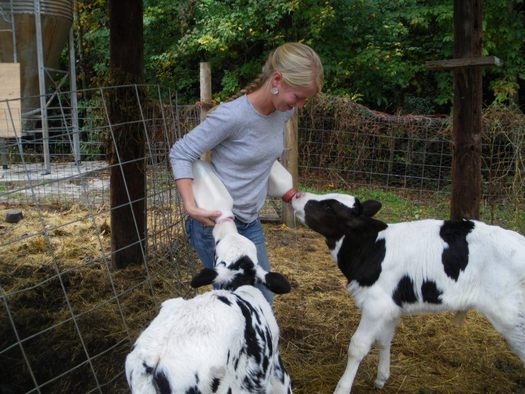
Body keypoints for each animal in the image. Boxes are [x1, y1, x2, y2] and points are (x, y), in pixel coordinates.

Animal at [290, 192, 524, 394]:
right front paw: (382, 377)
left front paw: (342, 388)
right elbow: (384, 339)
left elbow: (357, 346)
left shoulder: (376, 305)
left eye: (330, 207)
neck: (371, 247)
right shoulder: (390, 307)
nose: (297, 194)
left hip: (512, 319)